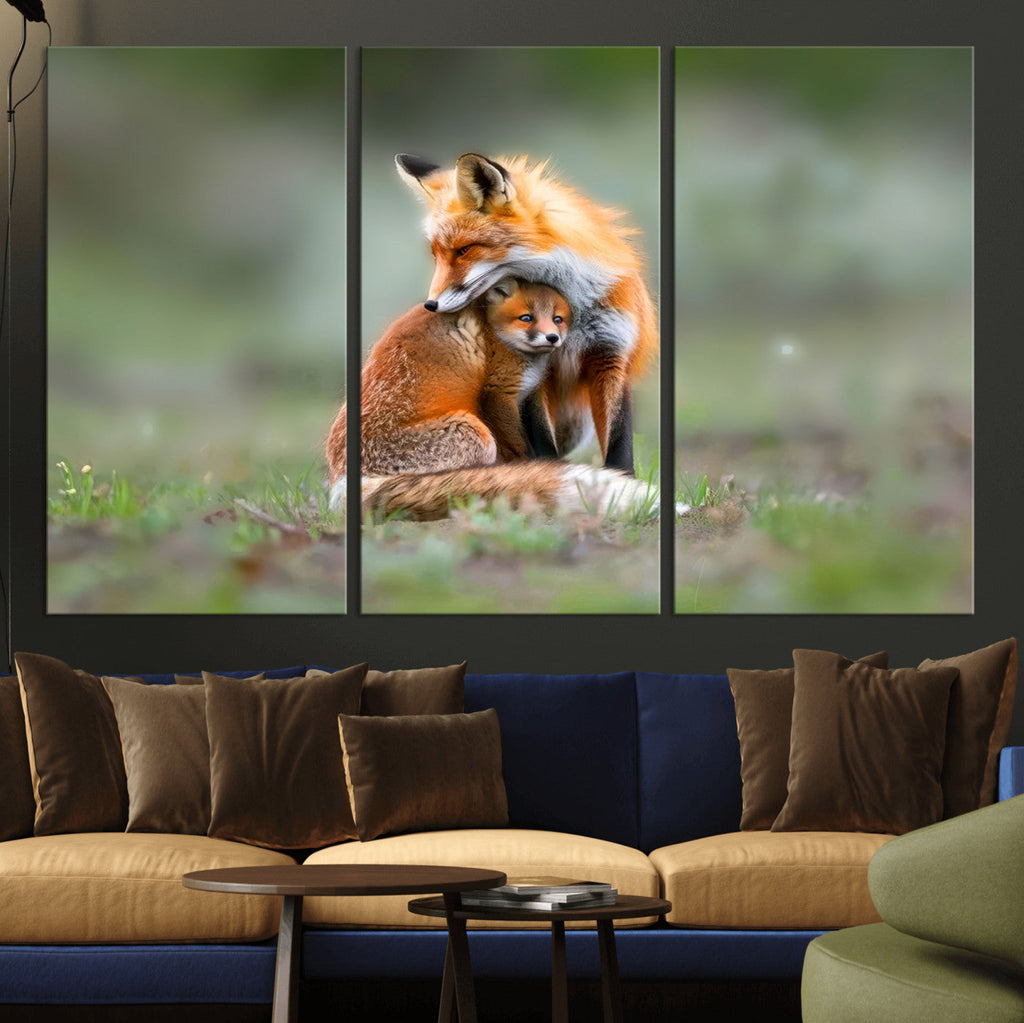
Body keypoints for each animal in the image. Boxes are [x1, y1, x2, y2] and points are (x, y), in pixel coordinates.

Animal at [326, 278, 570, 507]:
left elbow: (544, 437)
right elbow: (518, 447)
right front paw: (532, 468)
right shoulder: (499, 394)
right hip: (475, 433)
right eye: (526, 318)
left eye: (557, 319)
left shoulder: (530, 397)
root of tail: (341, 476)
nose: (552, 337)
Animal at [395, 152, 657, 476]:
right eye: (436, 255)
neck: (573, 310)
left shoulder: (611, 354)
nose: (430, 305)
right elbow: (542, 440)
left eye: (464, 250)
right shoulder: (535, 369)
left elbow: (619, 442)